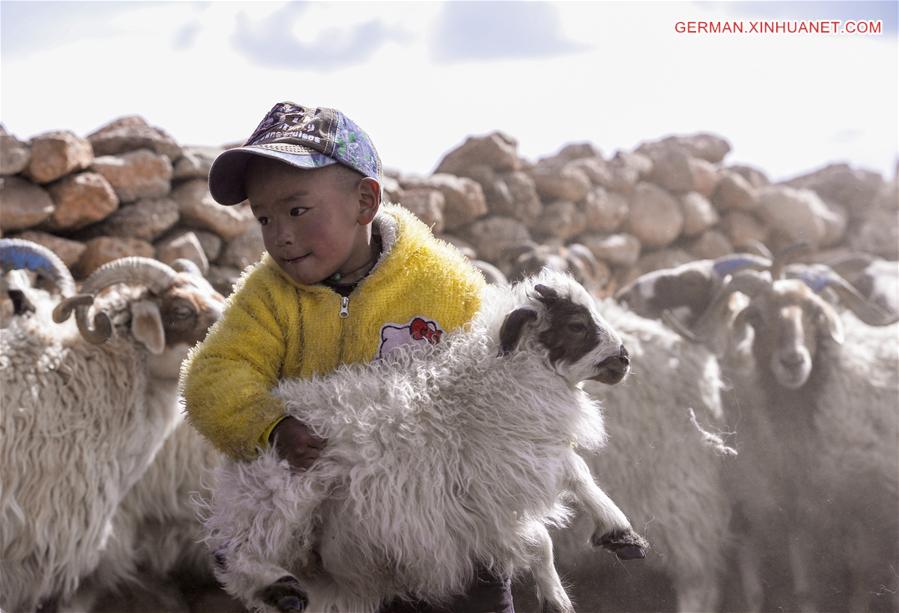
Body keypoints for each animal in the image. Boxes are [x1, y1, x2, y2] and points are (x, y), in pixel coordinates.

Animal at [200, 270, 648, 612]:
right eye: (577, 325)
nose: (625, 359)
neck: (488, 390)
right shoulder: (487, 502)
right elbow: (541, 541)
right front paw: (556, 598)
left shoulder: (532, 458)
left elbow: (580, 474)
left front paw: (619, 533)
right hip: (279, 490)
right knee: (231, 552)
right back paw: (277, 587)